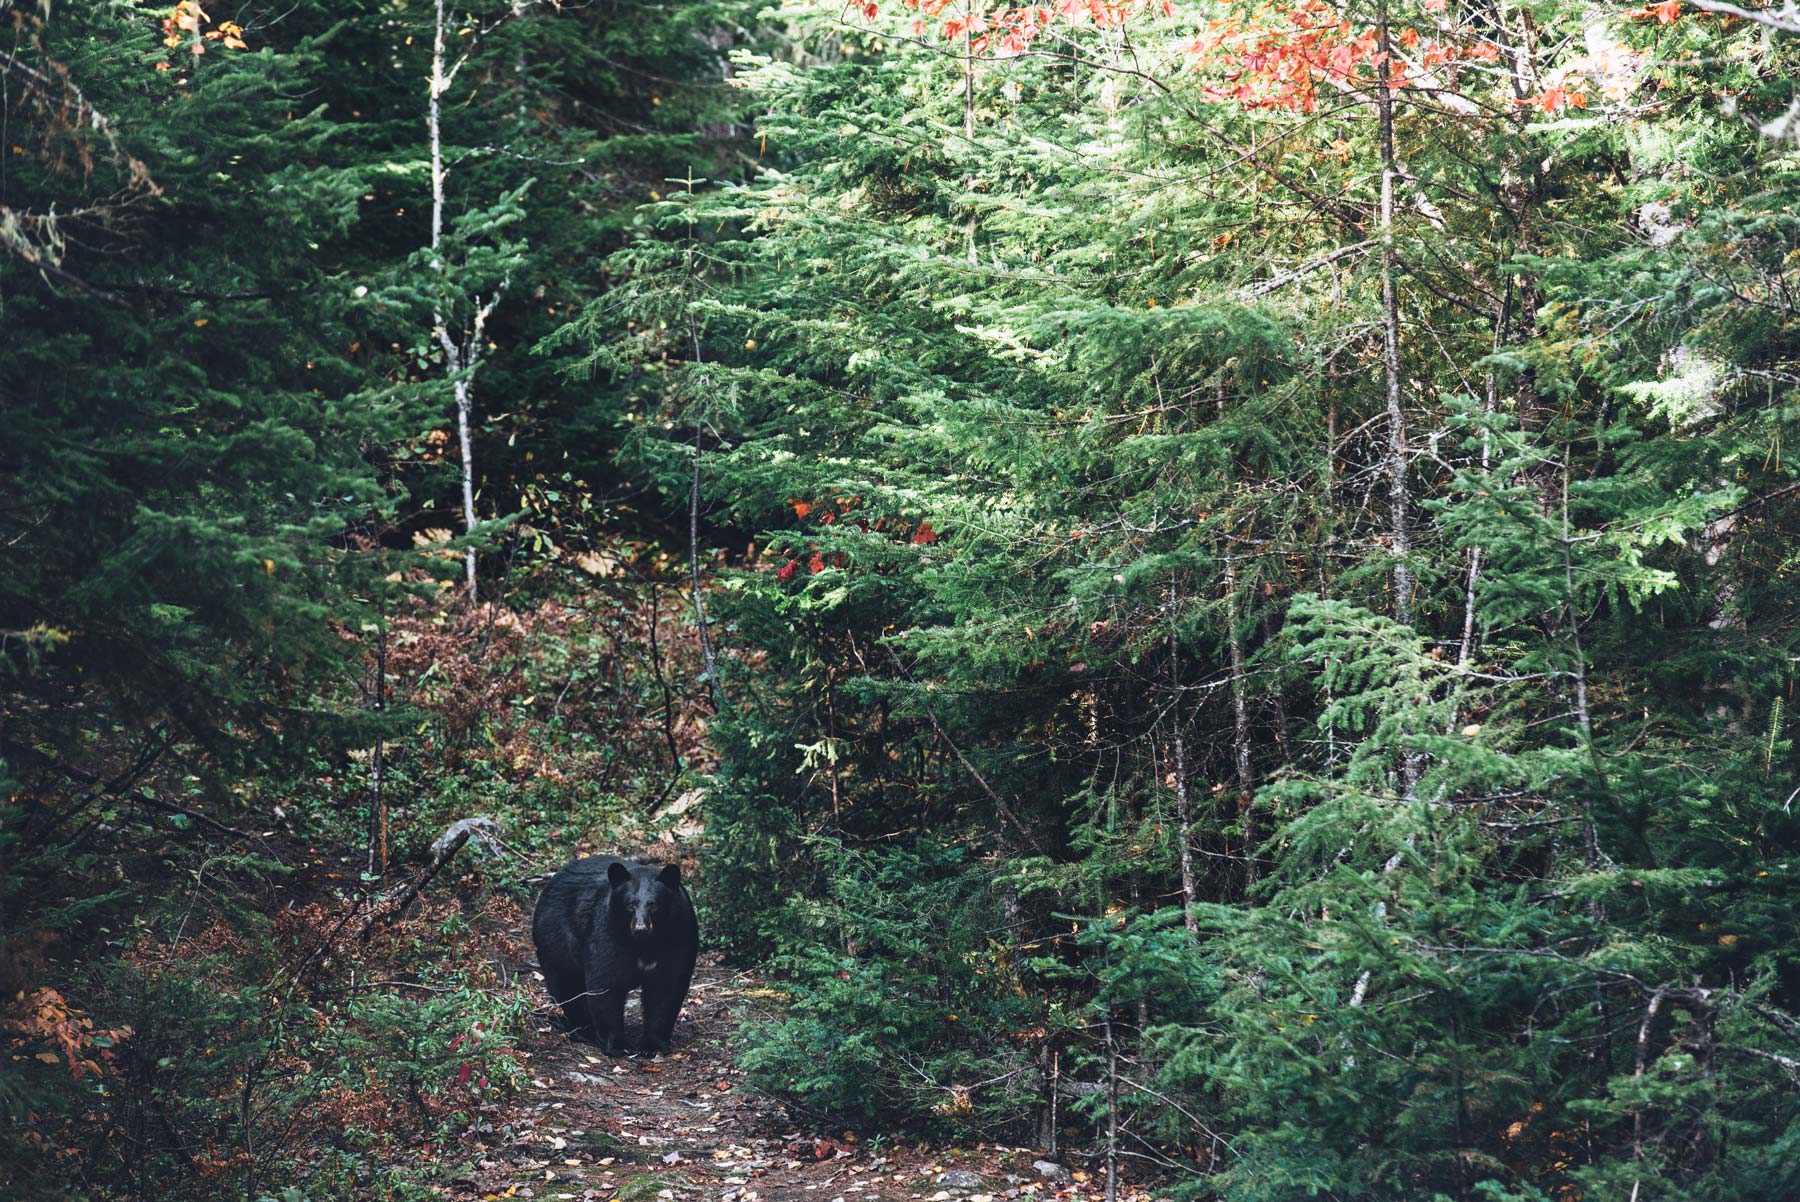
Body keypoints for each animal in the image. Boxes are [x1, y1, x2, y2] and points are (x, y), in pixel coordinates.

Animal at [525, 852, 694, 1050]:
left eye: (653, 905)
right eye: (630, 904)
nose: (640, 928)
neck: (645, 944)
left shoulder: (678, 934)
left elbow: (667, 986)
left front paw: (652, 1044)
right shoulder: (607, 928)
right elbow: (606, 983)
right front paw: (617, 1044)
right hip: (555, 935)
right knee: (567, 983)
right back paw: (583, 1030)